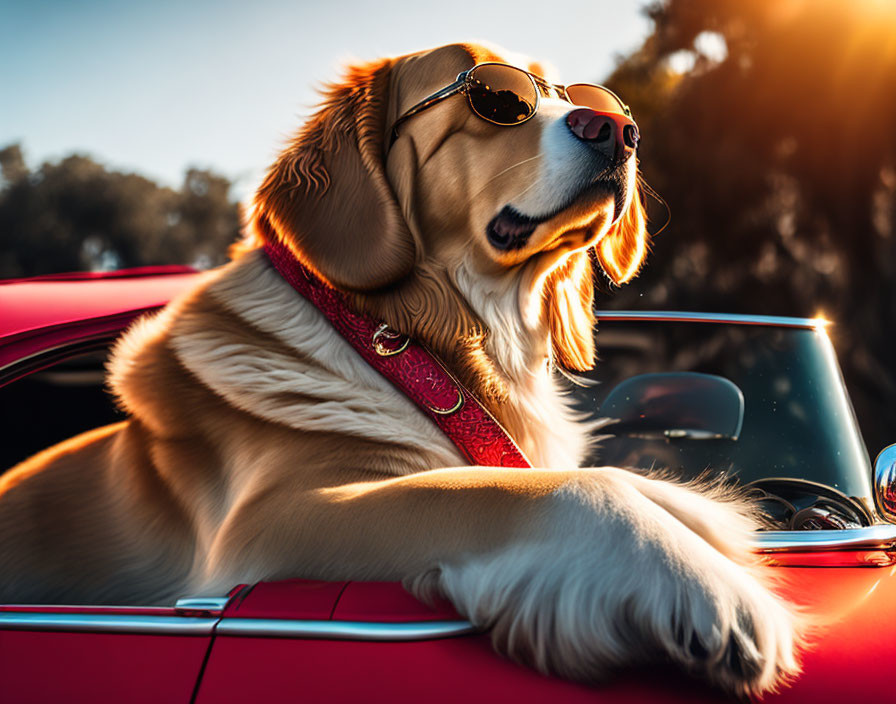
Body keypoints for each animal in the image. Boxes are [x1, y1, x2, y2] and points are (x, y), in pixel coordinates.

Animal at [0, 41, 800, 696]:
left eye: (588, 99)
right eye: (497, 100)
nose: (618, 130)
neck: (407, 343)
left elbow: (605, 477)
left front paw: (724, 520)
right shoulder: (273, 521)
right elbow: (556, 490)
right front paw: (707, 587)